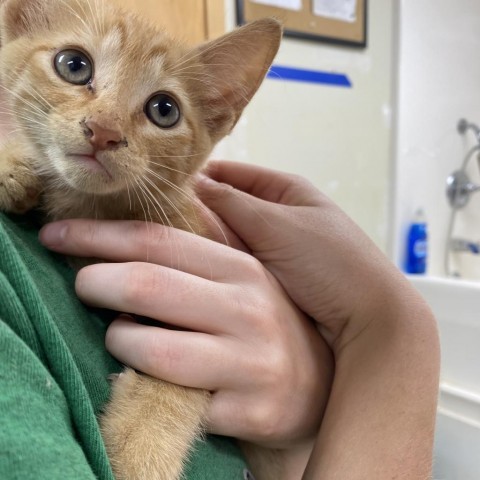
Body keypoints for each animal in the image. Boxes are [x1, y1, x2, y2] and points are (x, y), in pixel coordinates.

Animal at [0, 0, 282, 478]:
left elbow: (173, 383)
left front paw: (137, 452)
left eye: (164, 110)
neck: (92, 207)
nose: (103, 130)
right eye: (73, 65)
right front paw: (12, 164)